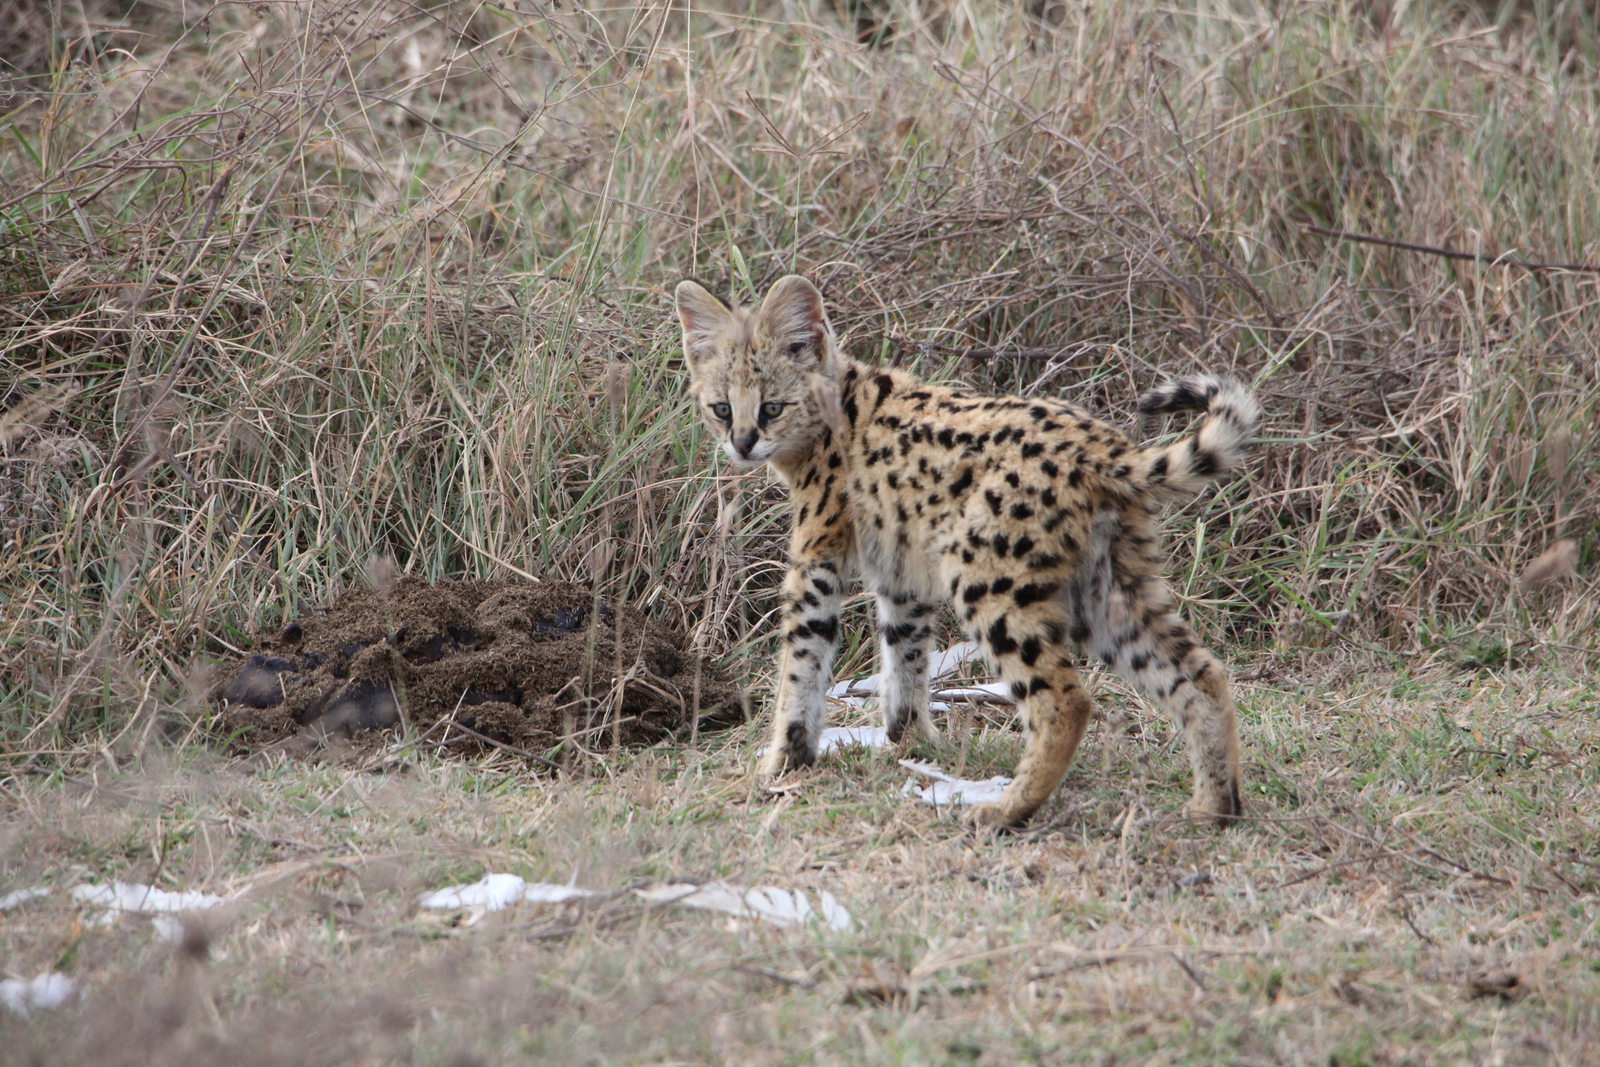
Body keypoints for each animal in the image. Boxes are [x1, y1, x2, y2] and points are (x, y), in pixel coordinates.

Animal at [675, 273, 1260, 825]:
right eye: (721, 408)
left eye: (772, 407)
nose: (742, 444)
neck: (836, 405)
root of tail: (1108, 451)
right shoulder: (901, 574)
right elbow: (905, 661)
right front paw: (909, 744)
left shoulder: (817, 564)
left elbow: (801, 666)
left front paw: (782, 763)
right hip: (1108, 589)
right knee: (1202, 674)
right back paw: (1215, 806)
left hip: (990, 581)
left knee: (1065, 701)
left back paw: (1008, 810)